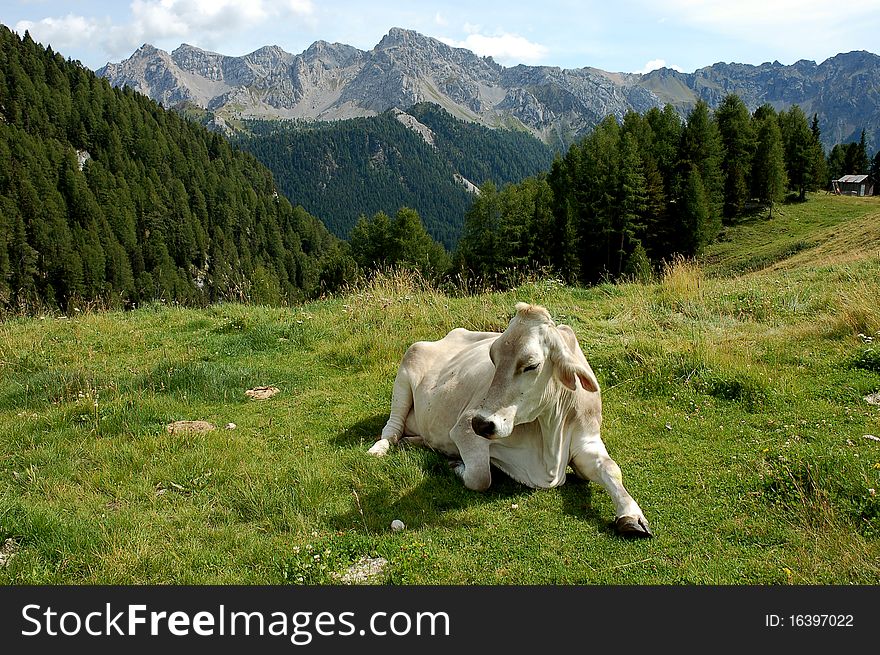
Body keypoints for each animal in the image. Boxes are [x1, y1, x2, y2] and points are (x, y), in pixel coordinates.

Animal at [368, 302, 648, 540]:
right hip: (407, 368)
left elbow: (611, 468)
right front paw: (456, 464)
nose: (482, 423)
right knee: (392, 429)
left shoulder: (588, 439)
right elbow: (480, 477)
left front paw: (632, 515)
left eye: (531, 365)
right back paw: (379, 449)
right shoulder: (463, 428)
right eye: (493, 357)